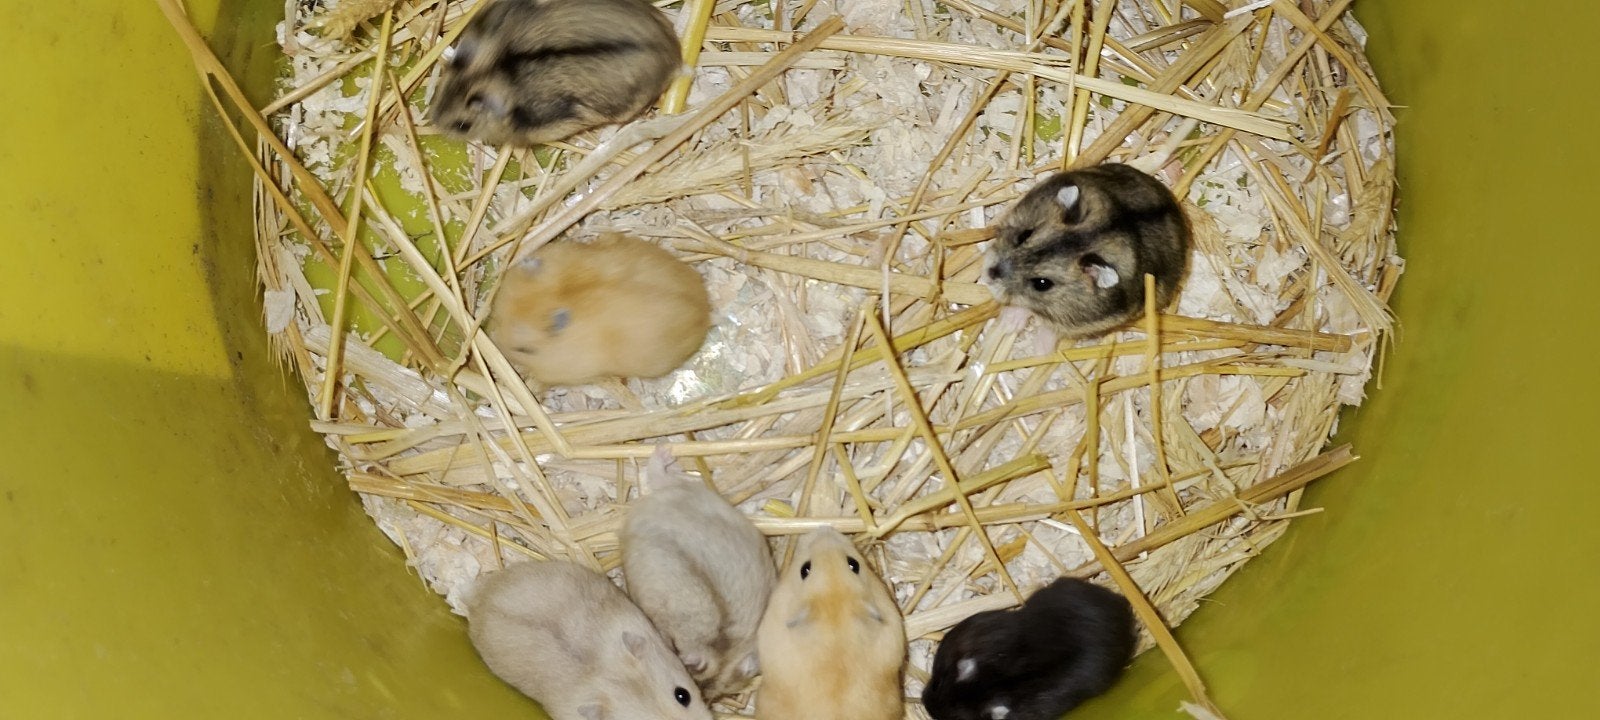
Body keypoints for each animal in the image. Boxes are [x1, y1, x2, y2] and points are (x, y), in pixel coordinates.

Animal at [621, 446, 777, 700]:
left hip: (685, 494)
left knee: (661, 478)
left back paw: (665, 455)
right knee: (660, 476)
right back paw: (665, 454)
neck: (723, 651)